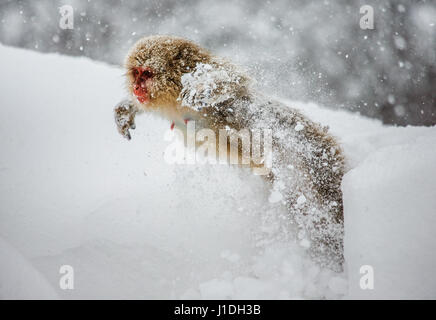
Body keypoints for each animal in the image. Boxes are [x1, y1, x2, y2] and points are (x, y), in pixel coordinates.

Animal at [114, 34, 346, 270]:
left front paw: (203, 89)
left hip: (313, 163)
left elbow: (232, 82)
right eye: (136, 73)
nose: (136, 88)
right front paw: (125, 110)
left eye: (147, 74)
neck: (174, 97)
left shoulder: (209, 79)